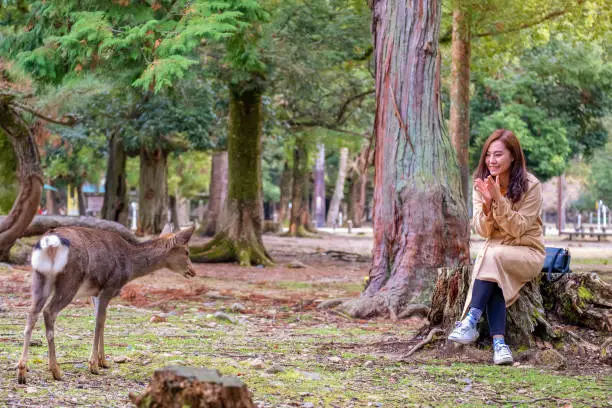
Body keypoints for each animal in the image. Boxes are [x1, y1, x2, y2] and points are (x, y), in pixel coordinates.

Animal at [16, 225, 195, 384]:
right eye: (186, 252)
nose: (193, 272)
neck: (130, 265)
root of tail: (50, 242)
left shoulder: (95, 293)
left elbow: (101, 319)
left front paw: (103, 361)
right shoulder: (110, 286)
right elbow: (99, 321)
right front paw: (94, 365)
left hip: (39, 278)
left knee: (32, 313)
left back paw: (22, 371)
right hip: (70, 281)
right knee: (49, 312)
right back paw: (56, 371)